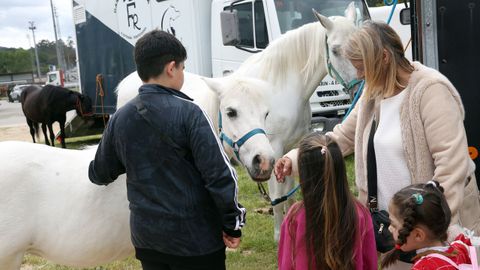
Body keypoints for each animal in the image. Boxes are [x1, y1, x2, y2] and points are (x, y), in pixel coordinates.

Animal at [116, 6, 358, 239]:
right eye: (335, 50)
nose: (358, 87)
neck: (279, 89)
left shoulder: (291, 147)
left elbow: (289, 195)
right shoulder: (274, 149)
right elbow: (277, 198)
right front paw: (279, 237)